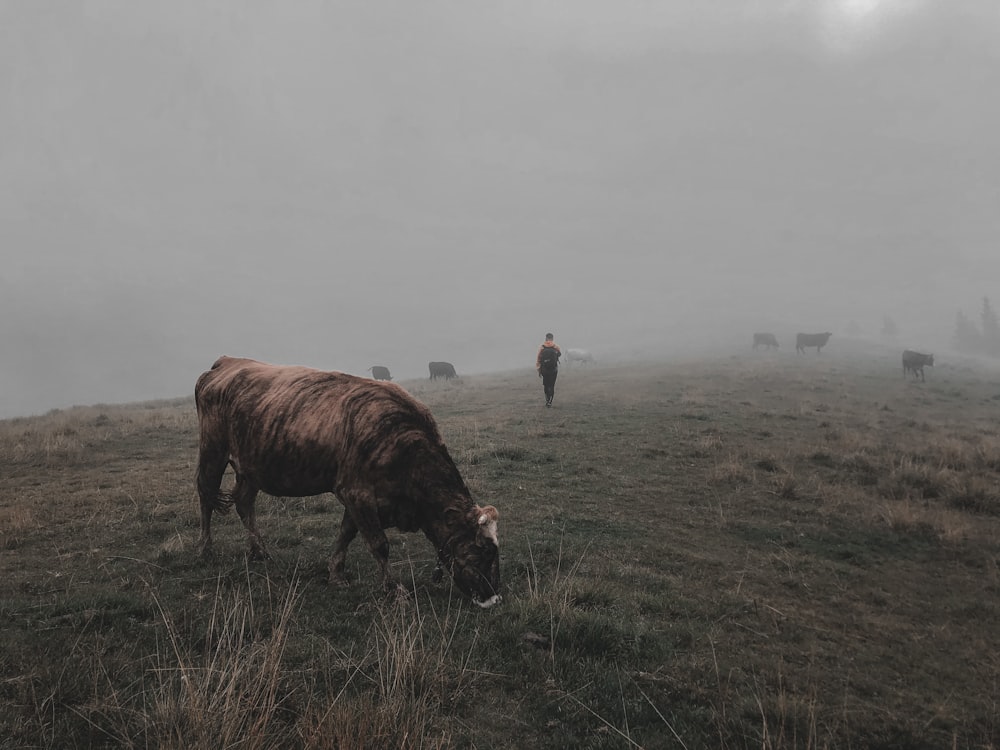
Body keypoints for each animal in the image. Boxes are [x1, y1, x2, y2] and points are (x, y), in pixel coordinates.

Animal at [194, 356, 500, 608]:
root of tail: (226, 362)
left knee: (244, 503)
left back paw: (259, 551)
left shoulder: (357, 498)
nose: (493, 598)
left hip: (250, 467)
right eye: (482, 550)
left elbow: (345, 535)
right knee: (206, 495)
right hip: (213, 451)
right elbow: (379, 544)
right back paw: (206, 549)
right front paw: (394, 589)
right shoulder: (357, 494)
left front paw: (336, 574)